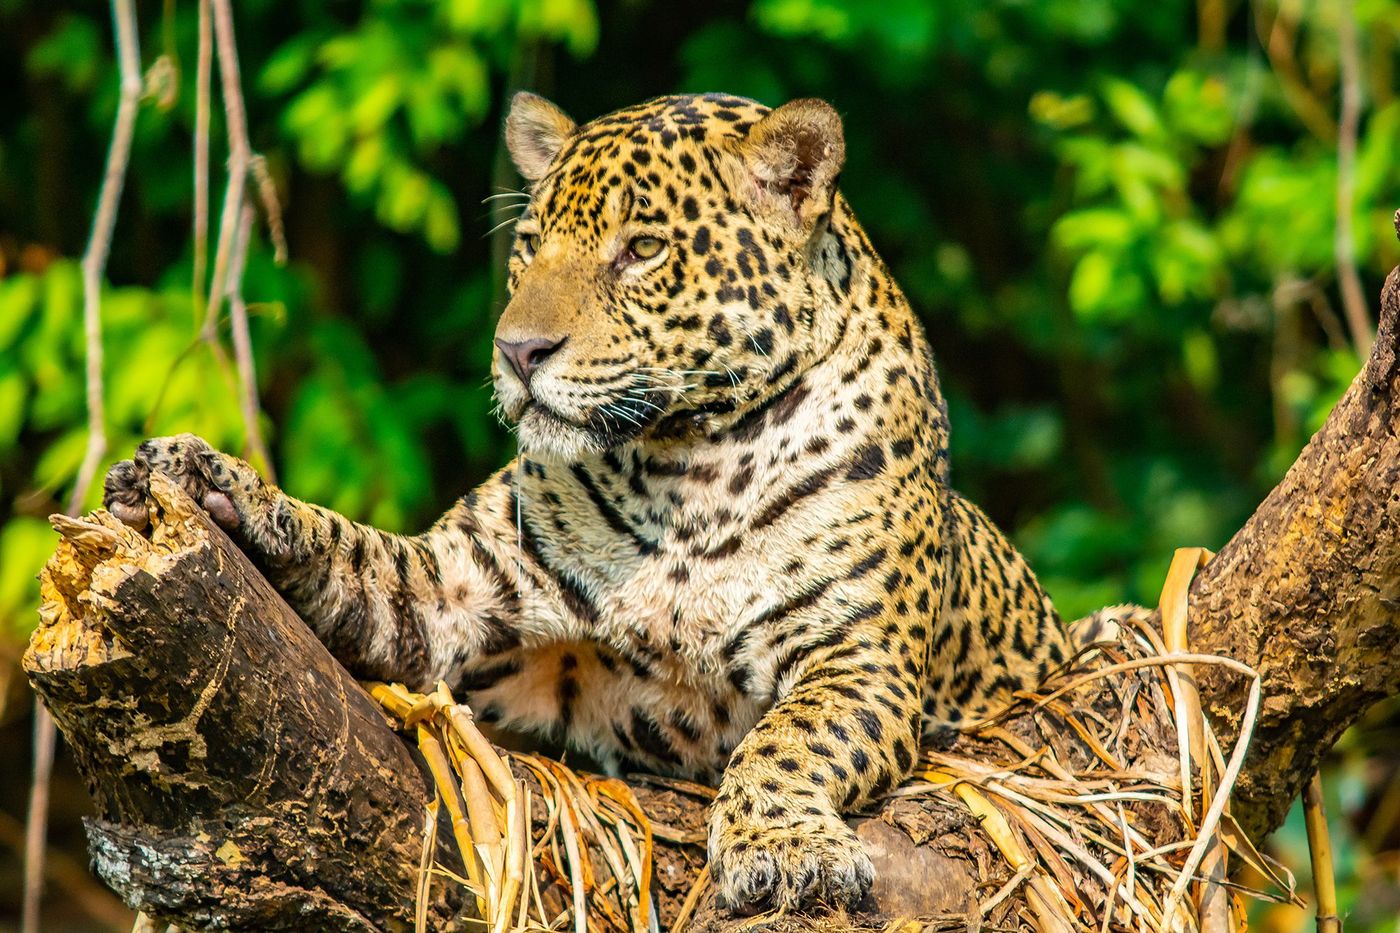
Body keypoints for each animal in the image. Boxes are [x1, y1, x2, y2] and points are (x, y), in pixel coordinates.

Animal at [103, 92, 1071, 916]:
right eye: (530, 244)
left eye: (642, 249)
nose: (517, 350)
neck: (689, 468)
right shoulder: (452, 590)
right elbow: (348, 549)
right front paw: (212, 479)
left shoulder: (859, 656)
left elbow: (789, 739)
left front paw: (783, 848)